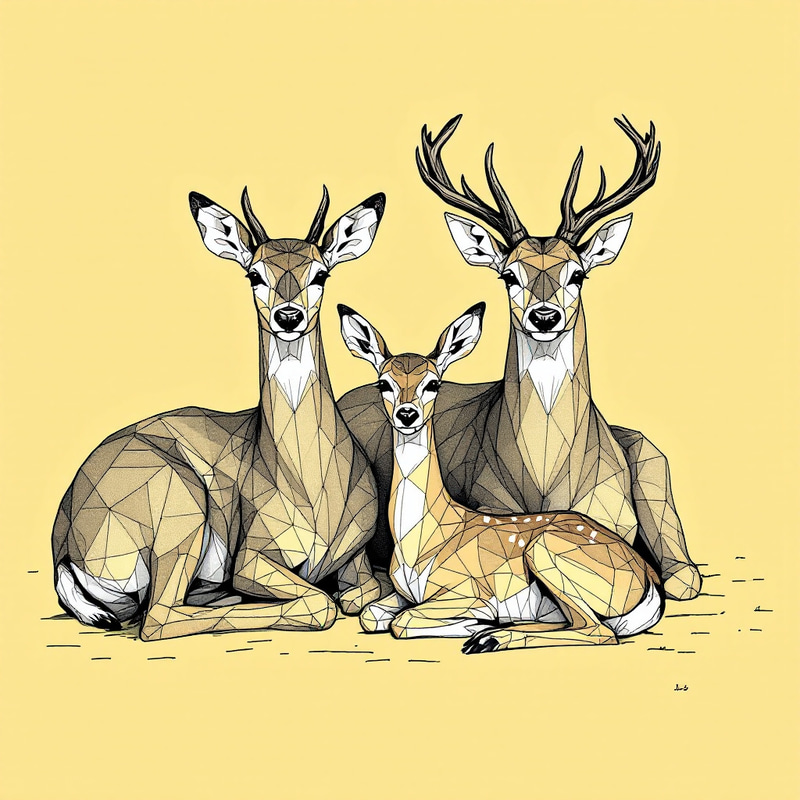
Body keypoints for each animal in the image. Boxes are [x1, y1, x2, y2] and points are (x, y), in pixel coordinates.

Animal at [52, 186, 385, 640]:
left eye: (321, 274)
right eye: (254, 274)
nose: (288, 316)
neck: (310, 483)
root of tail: (63, 542)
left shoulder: (356, 559)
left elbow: (358, 595)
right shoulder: (253, 560)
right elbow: (322, 603)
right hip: (182, 511)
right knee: (157, 617)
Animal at [338, 115, 701, 602]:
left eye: (578, 273)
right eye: (509, 274)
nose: (544, 316)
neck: (547, 474)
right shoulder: (489, 500)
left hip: (651, 463)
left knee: (683, 575)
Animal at [338, 302, 663, 653]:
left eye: (433, 383)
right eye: (384, 383)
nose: (407, 414)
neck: (424, 540)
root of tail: (647, 575)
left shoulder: (468, 589)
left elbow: (403, 621)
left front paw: (475, 622)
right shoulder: (402, 594)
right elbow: (371, 615)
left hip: (546, 553)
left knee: (599, 630)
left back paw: (490, 635)